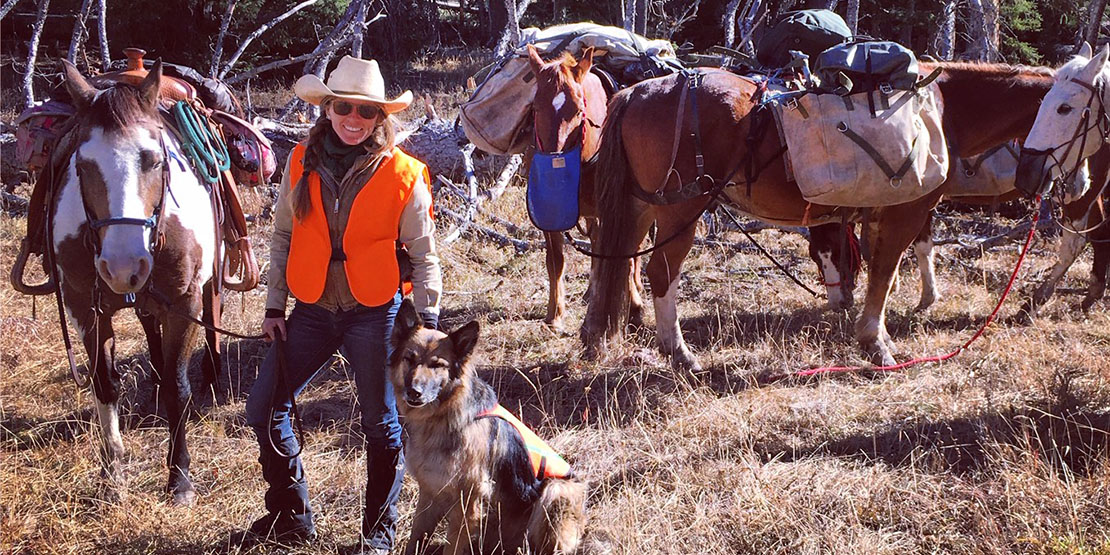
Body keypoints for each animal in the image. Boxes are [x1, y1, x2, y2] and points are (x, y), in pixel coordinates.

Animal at [51, 60, 218, 503]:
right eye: (82, 165)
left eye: (154, 160)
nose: (124, 264)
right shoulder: (84, 307)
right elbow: (104, 386)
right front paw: (113, 475)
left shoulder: (184, 304)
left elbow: (179, 388)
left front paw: (179, 479)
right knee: (147, 325)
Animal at [390, 299, 586, 555]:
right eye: (409, 359)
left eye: (437, 365)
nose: (414, 392)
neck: (443, 417)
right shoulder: (430, 492)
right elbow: (416, 538)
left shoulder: (467, 504)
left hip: (556, 490)